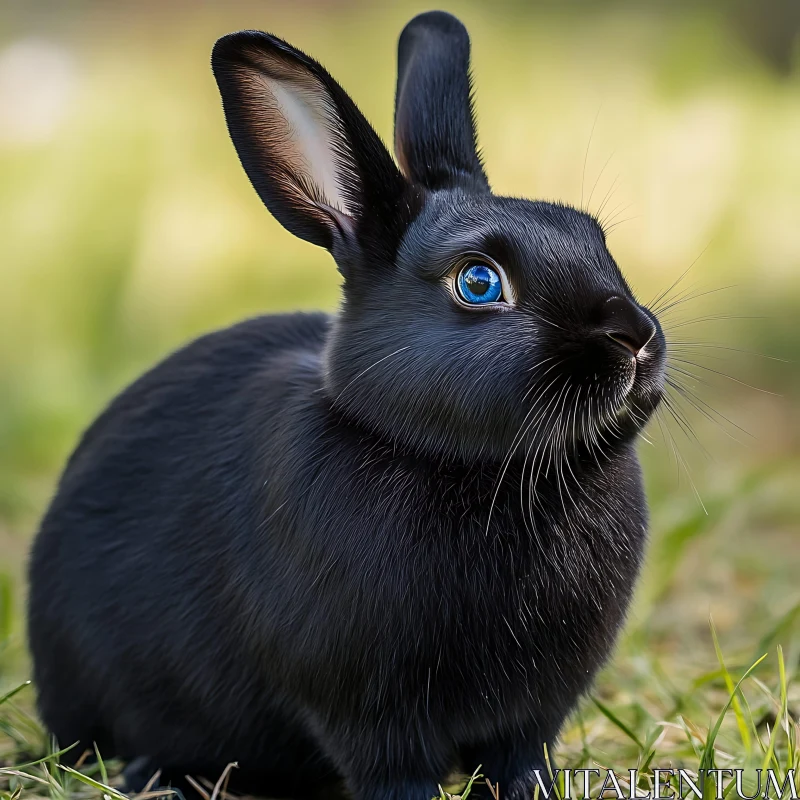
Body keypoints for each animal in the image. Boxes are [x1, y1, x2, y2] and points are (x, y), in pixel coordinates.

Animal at [26, 10, 664, 800]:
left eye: (594, 236)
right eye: (478, 282)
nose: (635, 336)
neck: (479, 471)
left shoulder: (532, 715)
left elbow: (520, 759)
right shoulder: (369, 712)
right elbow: (394, 771)